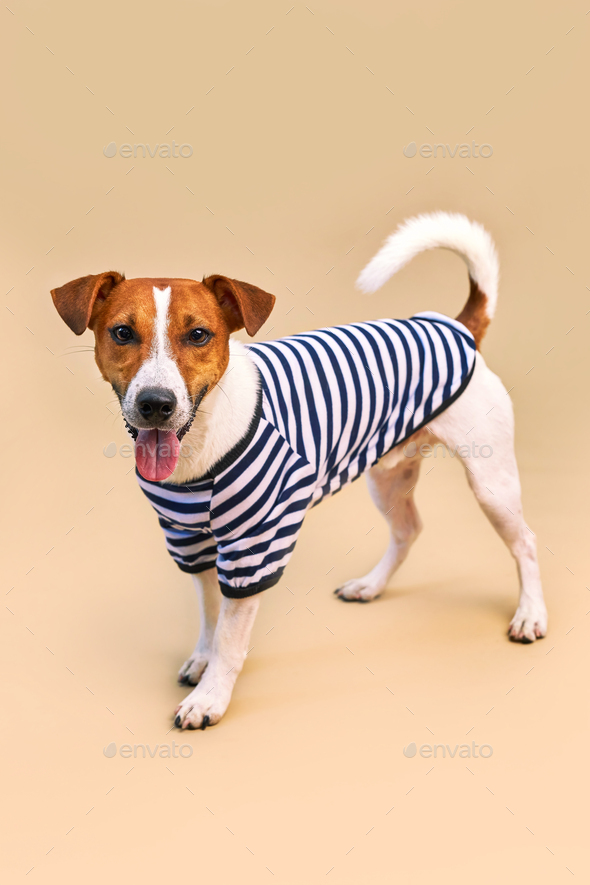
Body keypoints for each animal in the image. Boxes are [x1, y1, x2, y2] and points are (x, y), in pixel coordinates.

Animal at [52, 212, 552, 724]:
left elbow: (230, 635)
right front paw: (202, 657)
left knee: (525, 543)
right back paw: (371, 585)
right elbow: (210, 613)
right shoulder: (189, 540)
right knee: (408, 529)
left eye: (198, 335)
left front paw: (211, 696)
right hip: (387, 478)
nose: (156, 404)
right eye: (121, 333)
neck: (201, 448)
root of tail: (456, 328)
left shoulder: (252, 548)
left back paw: (530, 614)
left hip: (492, 485)